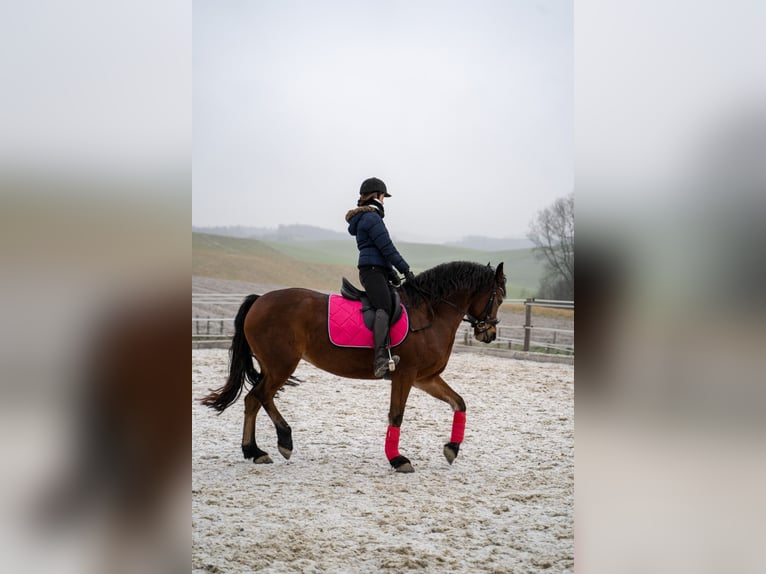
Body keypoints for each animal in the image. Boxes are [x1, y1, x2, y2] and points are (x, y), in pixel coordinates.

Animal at [201, 261, 506, 473]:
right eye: (500, 297)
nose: (489, 333)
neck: (430, 313)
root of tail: (259, 300)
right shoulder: (405, 376)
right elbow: (396, 416)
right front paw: (398, 460)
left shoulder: (425, 378)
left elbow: (459, 402)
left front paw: (452, 448)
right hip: (281, 366)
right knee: (260, 396)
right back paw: (281, 442)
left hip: (273, 366)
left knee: (253, 400)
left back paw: (255, 451)